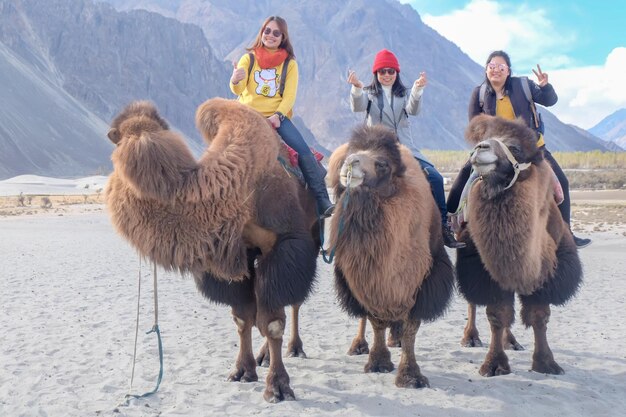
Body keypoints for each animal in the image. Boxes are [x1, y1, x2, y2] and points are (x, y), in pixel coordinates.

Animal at [105, 99, 320, 402]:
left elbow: (273, 323)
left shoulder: (283, 246)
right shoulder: (235, 259)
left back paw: (295, 348)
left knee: (295, 303)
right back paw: (264, 356)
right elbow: (243, 319)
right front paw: (242, 371)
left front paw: (278, 387)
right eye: (118, 136)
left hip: (311, 239)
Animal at [454, 114, 580, 376]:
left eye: (515, 148)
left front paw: (546, 363)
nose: (480, 148)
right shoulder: (483, 270)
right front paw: (494, 365)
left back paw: (511, 342)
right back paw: (471, 338)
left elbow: (539, 315)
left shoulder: (546, 272)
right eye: (485, 138)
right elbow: (496, 315)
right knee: (474, 302)